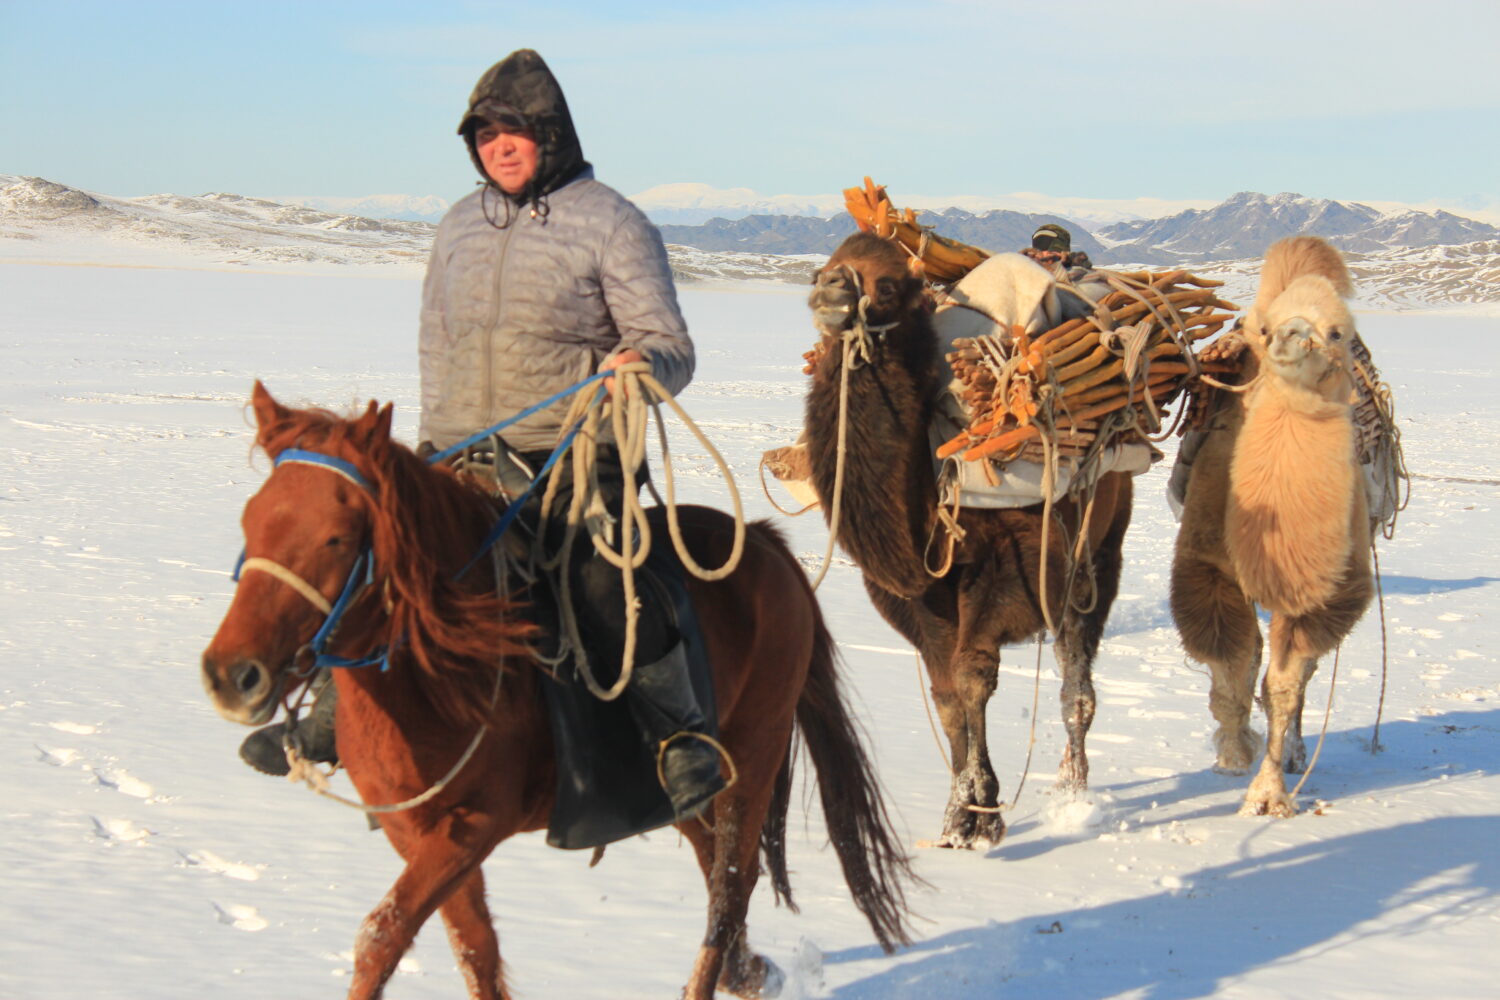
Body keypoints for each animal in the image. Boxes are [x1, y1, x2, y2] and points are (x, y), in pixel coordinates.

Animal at [196, 383, 912, 1000]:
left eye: (337, 536)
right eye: (251, 519)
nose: (231, 675)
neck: (442, 672)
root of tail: (766, 544)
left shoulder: (475, 824)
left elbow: (383, 933)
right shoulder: (417, 830)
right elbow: (474, 948)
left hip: (755, 755)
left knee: (730, 887)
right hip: (689, 793)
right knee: (717, 870)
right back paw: (750, 971)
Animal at [804, 236, 1128, 851]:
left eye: (888, 285)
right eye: (824, 265)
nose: (830, 291)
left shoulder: (1013, 562)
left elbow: (974, 675)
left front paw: (981, 816)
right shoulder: (916, 596)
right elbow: (947, 695)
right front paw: (960, 816)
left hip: (1099, 546)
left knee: (1077, 677)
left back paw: (1074, 795)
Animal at [1176, 238, 1374, 815]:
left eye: (1339, 331)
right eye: (1263, 330)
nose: (1292, 336)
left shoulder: (1325, 593)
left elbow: (1284, 684)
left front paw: (1269, 795)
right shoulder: (1208, 567)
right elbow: (1231, 665)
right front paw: (1234, 754)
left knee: (1300, 677)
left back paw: (1295, 754)